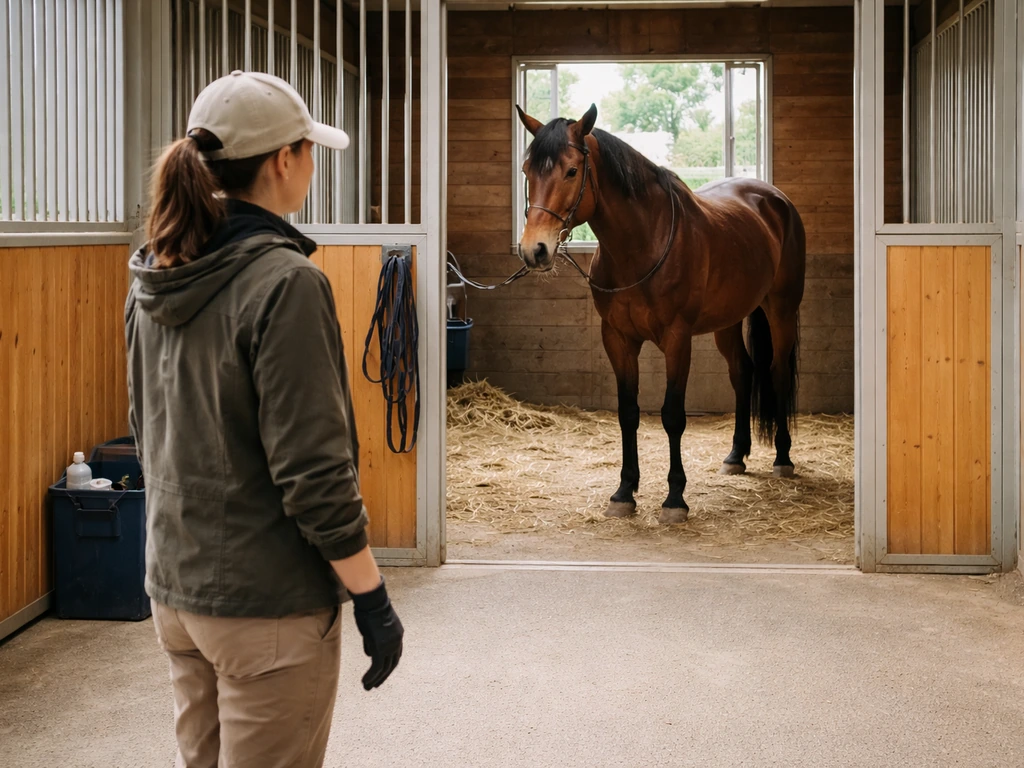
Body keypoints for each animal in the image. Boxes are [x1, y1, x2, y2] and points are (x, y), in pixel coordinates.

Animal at [515, 103, 806, 525]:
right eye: (527, 171)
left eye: (571, 171)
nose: (533, 250)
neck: (642, 245)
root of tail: (775, 199)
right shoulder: (618, 339)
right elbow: (628, 412)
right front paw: (624, 492)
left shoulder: (677, 340)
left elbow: (672, 415)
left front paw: (674, 498)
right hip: (729, 321)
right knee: (743, 373)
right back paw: (736, 455)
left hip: (781, 309)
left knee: (778, 373)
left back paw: (783, 457)